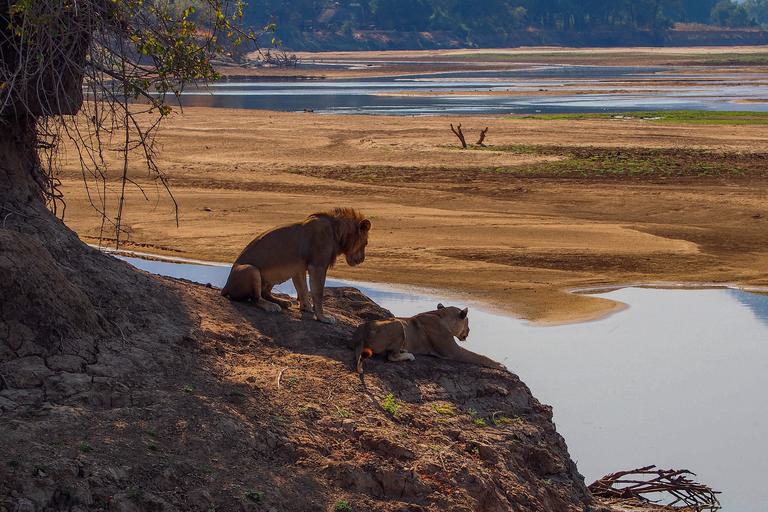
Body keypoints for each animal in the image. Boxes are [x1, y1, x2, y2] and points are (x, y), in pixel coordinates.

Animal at [221, 208, 371, 324]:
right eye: (366, 243)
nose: (362, 259)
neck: (336, 231)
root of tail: (225, 286)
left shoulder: (298, 269)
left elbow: (303, 289)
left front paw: (306, 307)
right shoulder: (317, 266)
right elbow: (318, 293)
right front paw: (323, 317)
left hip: (278, 273)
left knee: (265, 293)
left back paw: (282, 302)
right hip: (251, 269)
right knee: (255, 298)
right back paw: (271, 306)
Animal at [351, 303, 505, 373]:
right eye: (468, 322)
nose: (469, 331)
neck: (441, 315)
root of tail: (360, 334)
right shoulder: (453, 352)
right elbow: (480, 357)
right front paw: (501, 365)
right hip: (399, 324)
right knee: (391, 356)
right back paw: (409, 355)